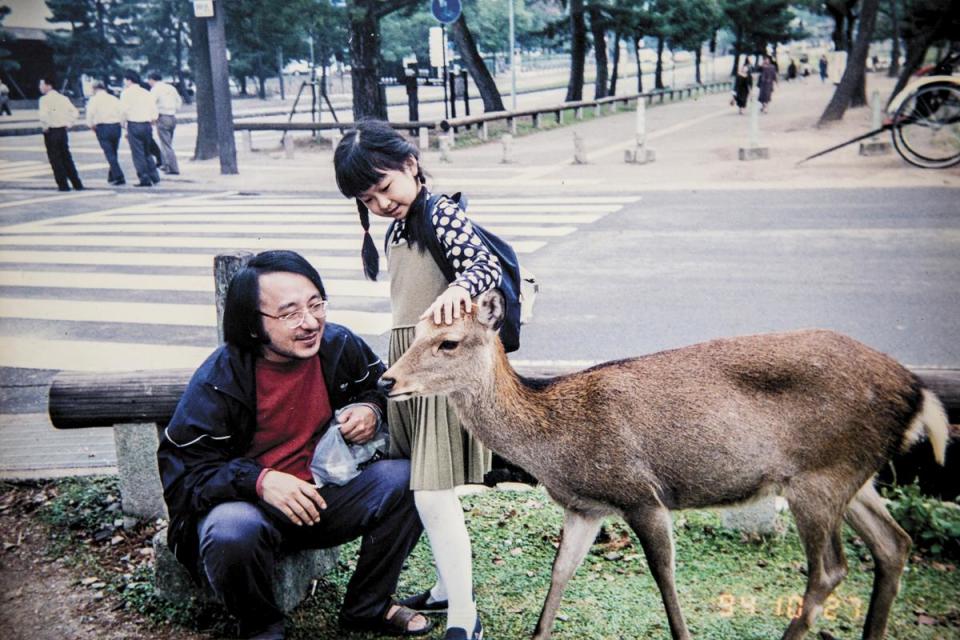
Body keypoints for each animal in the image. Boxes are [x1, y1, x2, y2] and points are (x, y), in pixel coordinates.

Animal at [378, 290, 948, 640]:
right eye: (419, 331)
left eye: (448, 341)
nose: (386, 379)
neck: (556, 444)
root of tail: (919, 394)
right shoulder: (586, 506)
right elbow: (560, 574)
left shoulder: (640, 493)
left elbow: (664, 576)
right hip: (854, 476)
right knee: (894, 543)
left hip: (817, 479)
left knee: (830, 569)